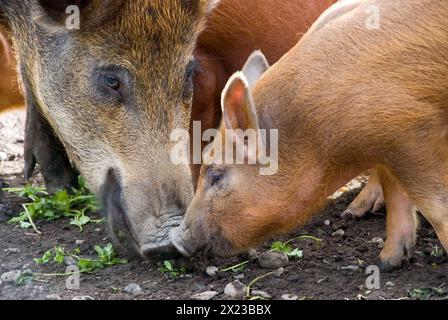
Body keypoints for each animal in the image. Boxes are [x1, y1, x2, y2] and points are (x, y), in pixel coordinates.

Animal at [172, 0, 448, 272]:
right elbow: (395, 192)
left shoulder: (411, 129)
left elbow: (436, 207)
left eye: (216, 175)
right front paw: (386, 263)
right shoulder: (386, 144)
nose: (176, 242)